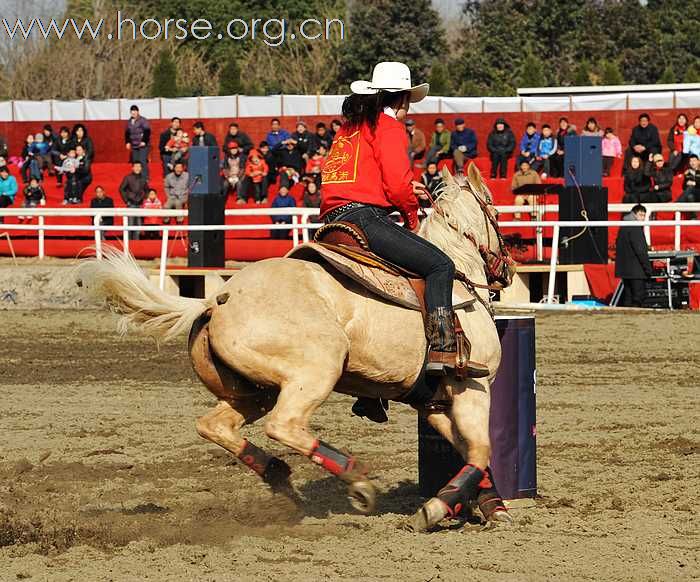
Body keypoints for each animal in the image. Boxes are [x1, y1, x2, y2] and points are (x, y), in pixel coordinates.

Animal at [76, 165, 516, 532]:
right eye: (494, 209)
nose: (509, 270)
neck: (459, 279)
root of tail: (218, 298)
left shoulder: (432, 402)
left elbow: (469, 452)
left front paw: (491, 506)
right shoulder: (472, 390)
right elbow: (480, 450)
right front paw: (438, 509)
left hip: (253, 392)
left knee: (213, 425)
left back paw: (277, 473)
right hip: (317, 370)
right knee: (284, 426)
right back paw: (356, 479)